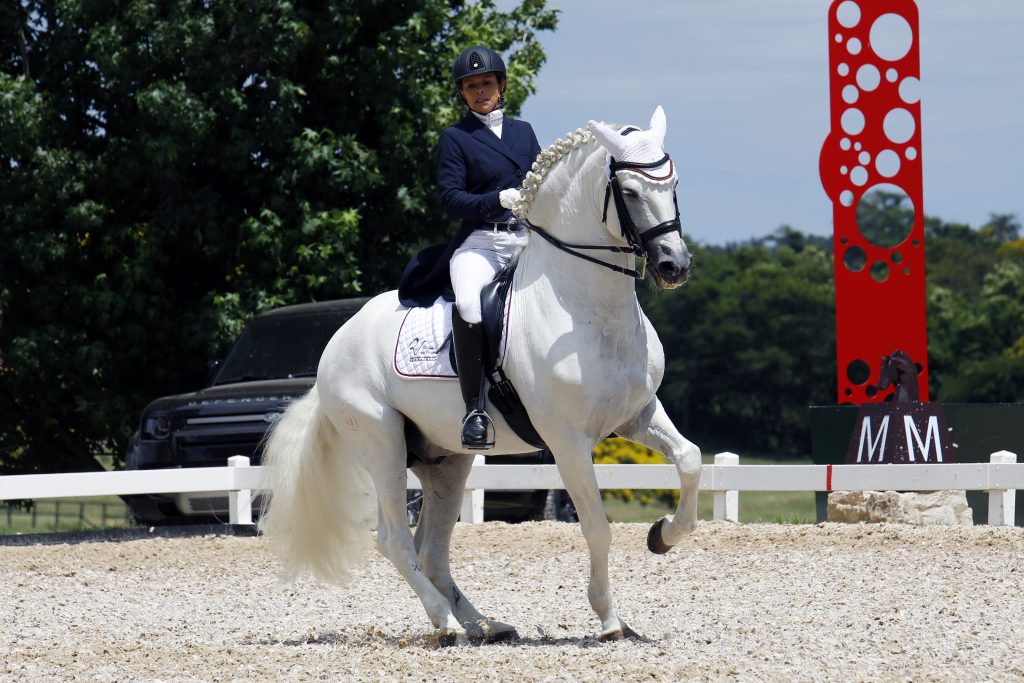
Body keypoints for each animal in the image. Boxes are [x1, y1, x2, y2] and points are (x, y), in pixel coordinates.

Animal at [258, 104, 704, 643]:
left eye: (673, 184)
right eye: (632, 193)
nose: (674, 265)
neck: (587, 308)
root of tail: (336, 345)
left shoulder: (636, 415)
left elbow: (690, 460)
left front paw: (663, 534)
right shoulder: (567, 439)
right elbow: (596, 526)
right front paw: (610, 619)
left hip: (446, 460)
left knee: (432, 548)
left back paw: (484, 625)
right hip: (381, 441)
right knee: (394, 541)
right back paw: (446, 623)